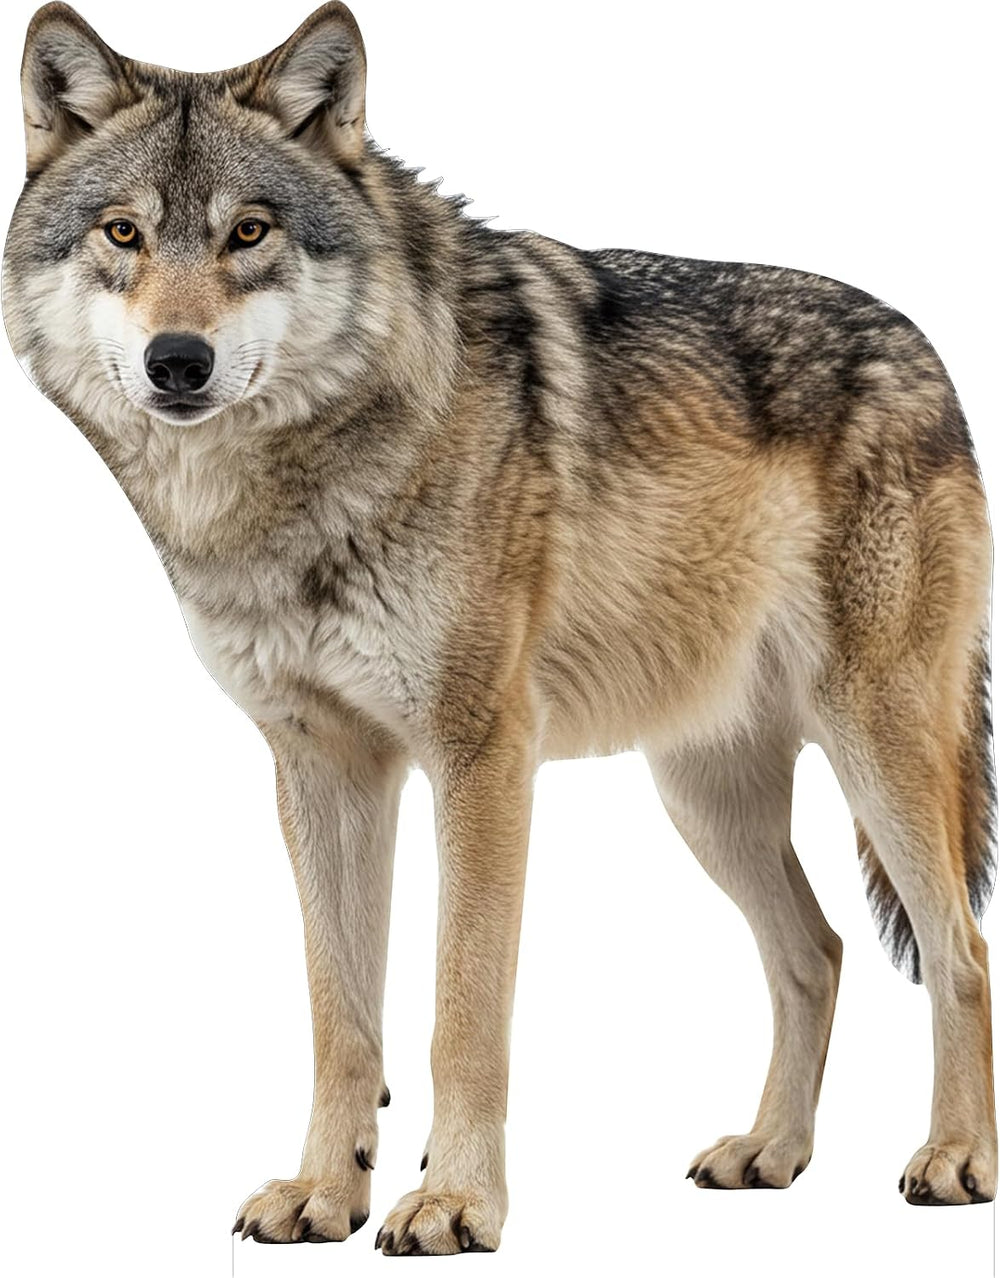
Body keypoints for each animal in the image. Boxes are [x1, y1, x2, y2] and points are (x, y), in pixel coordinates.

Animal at [3, 0, 996, 1255]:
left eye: (249, 233)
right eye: (124, 233)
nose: (176, 362)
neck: (291, 493)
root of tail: (927, 349)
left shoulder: (480, 755)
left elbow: (461, 1011)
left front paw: (455, 1204)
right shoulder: (321, 769)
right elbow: (341, 1018)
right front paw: (324, 1193)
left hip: (876, 749)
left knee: (959, 951)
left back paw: (956, 1159)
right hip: (701, 794)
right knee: (813, 951)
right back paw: (769, 1153)